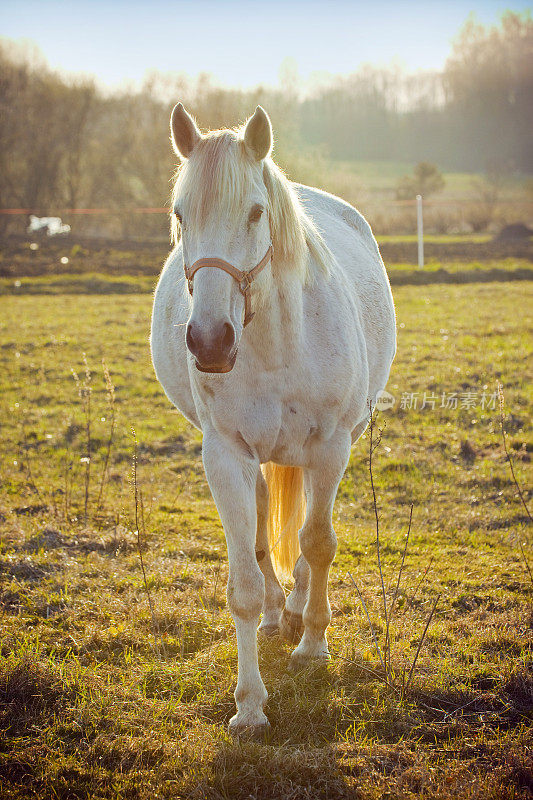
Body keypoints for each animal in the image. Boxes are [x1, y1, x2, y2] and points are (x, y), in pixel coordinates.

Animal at [151, 106, 394, 736]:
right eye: (181, 215)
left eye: (256, 212)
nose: (209, 341)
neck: (277, 341)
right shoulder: (225, 455)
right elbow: (241, 580)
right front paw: (250, 705)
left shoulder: (330, 446)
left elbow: (319, 542)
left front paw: (312, 645)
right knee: (263, 523)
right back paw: (272, 613)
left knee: (308, 532)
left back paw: (299, 612)